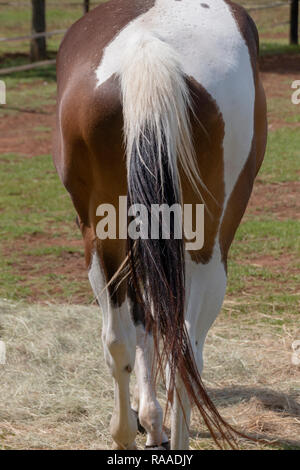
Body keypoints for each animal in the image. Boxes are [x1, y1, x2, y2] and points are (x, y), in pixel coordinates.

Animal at [54, 0, 268, 450]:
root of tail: (148, 49)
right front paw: (154, 421)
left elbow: (140, 326)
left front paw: (148, 420)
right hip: (208, 243)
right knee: (183, 347)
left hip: (103, 235)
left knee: (124, 339)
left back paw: (126, 433)